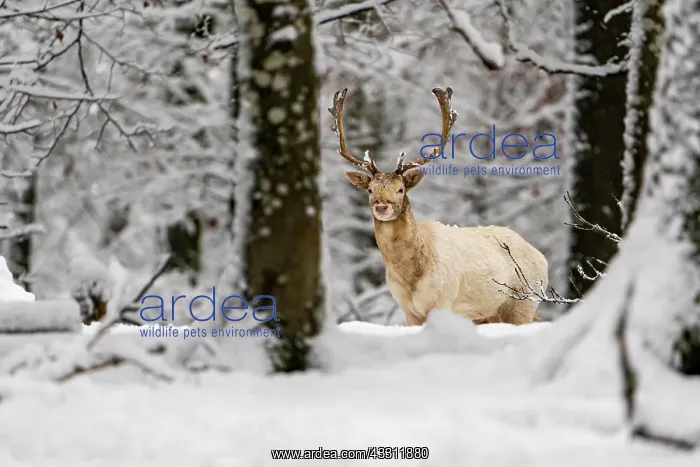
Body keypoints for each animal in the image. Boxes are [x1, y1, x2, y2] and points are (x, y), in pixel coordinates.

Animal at [328, 87, 549, 326]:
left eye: (400, 189)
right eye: (370, 189)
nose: (382, 206)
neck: (412, 278)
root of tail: (541, 257)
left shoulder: (443, 301)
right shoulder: (408, 311)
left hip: (524, 303)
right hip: (489, 315)